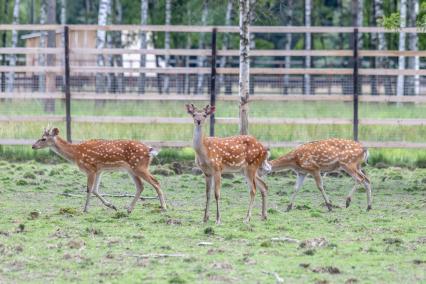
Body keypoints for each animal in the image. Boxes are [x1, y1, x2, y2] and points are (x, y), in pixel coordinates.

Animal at [31, 128, 166, 213]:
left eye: (43, 138)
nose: (33, 146)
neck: (76, 154)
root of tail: (149, 150)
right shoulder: (99, 170)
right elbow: (95, 190)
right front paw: (112, 206)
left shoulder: (90, 168)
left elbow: (89, 189)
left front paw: (85, 209)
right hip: (131, 169)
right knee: (140, 186)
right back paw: (129, 209)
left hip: (139, 166)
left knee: (156, 182)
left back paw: (163, 207)